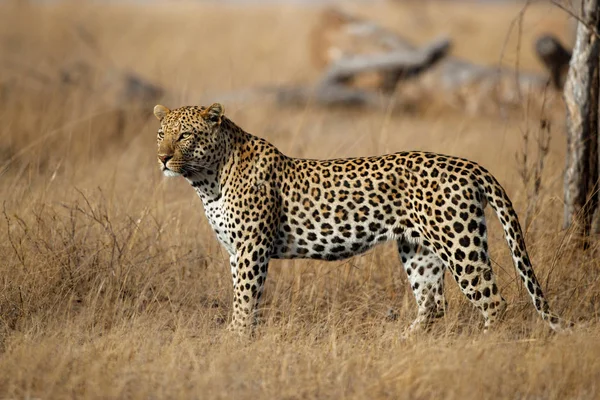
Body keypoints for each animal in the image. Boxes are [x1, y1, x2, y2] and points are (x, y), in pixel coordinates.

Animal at [155, 102, 568, 334]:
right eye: (161, 133)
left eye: (186, 135)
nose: (161, 158)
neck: (208, 180)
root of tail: (469, 165)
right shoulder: (235, 252)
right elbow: (246, 299)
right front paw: (243, 337)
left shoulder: (251, 249)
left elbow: (244, 299)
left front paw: (236, 340)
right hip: (419, 249)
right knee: (433, 303)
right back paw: (403, 342)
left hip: (460, 244)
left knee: (492, 301)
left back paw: (482, 349)